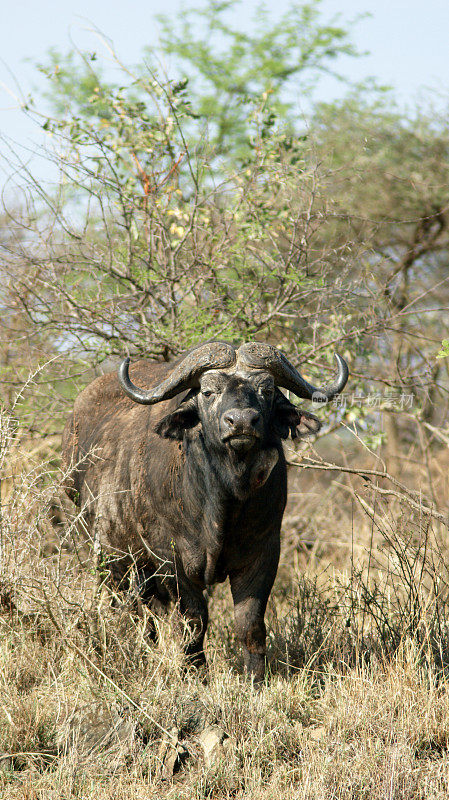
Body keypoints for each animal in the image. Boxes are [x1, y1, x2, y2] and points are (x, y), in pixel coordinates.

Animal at [61, 340, 346, 680]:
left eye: (265, 390)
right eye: (208, 392)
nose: (241, 422)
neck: (223, 499)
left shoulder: (264, 553)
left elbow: (250, 624)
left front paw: (255, 679)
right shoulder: (171, 559)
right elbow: (193, 621)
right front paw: (196, 673)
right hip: (112, 558)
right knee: (133, 612)